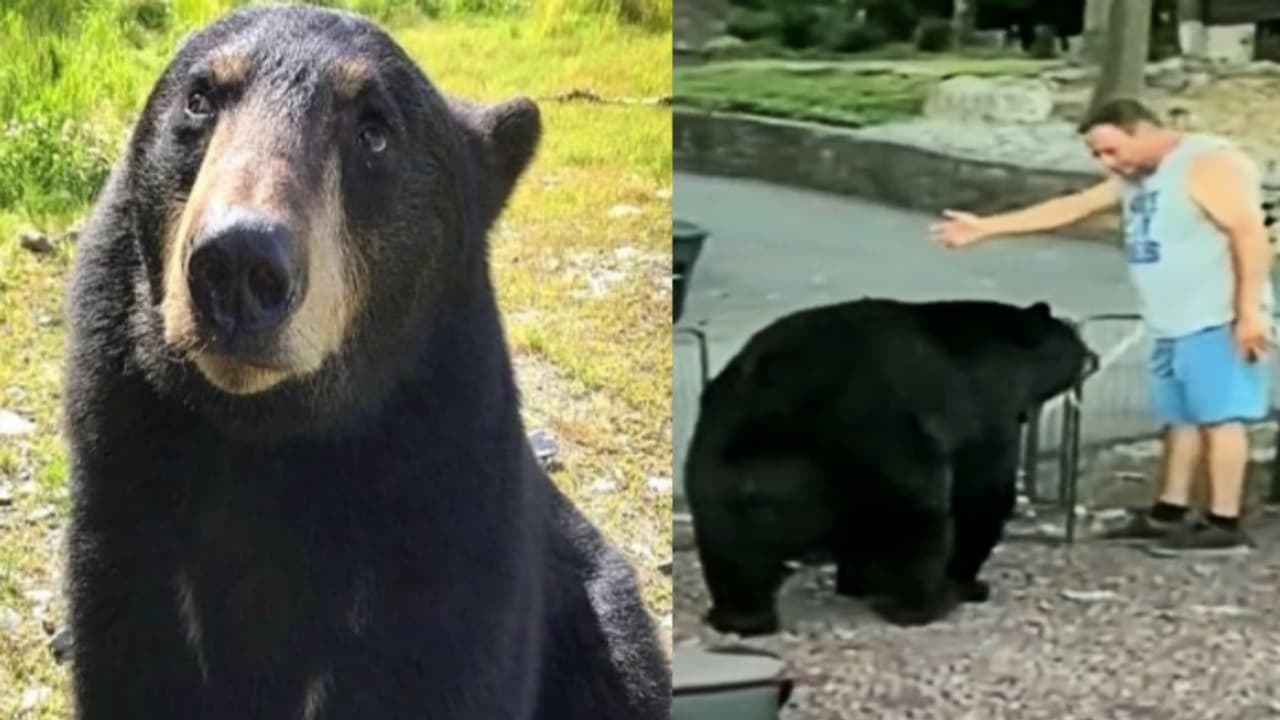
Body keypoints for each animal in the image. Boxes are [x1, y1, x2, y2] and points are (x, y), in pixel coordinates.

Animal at [60, 5, 669, 719]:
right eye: (200, 98)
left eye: (374, 133)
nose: (238, 263)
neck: (271, 441)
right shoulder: (127, 527)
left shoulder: (450, 557)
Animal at [683, 297, 1097, 637]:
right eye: (1074, 343)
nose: (1093, 357)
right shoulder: (989, 408)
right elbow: (982, 492)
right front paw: (970, 583)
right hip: (887, 454)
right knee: (918, 522)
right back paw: (922, 603)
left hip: (729, 477)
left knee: (737, 553)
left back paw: (742, 617)